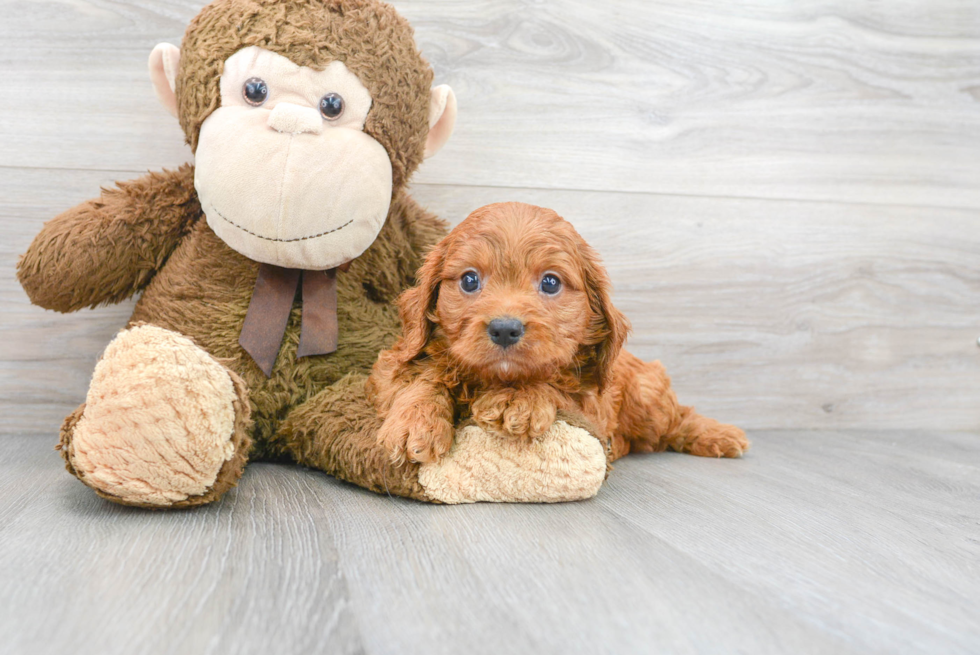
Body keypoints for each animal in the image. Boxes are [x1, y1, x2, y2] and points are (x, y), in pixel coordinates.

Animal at [370, 202, 752, 464]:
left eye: (551, 282)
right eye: (469, 280)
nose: (505, 329)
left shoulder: (594, 403)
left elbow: (557, 383)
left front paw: (519, 399)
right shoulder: (390, 365)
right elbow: (425, 374)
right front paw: (415, 421)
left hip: (648, 398)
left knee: (678, 418)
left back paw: (719, 434)